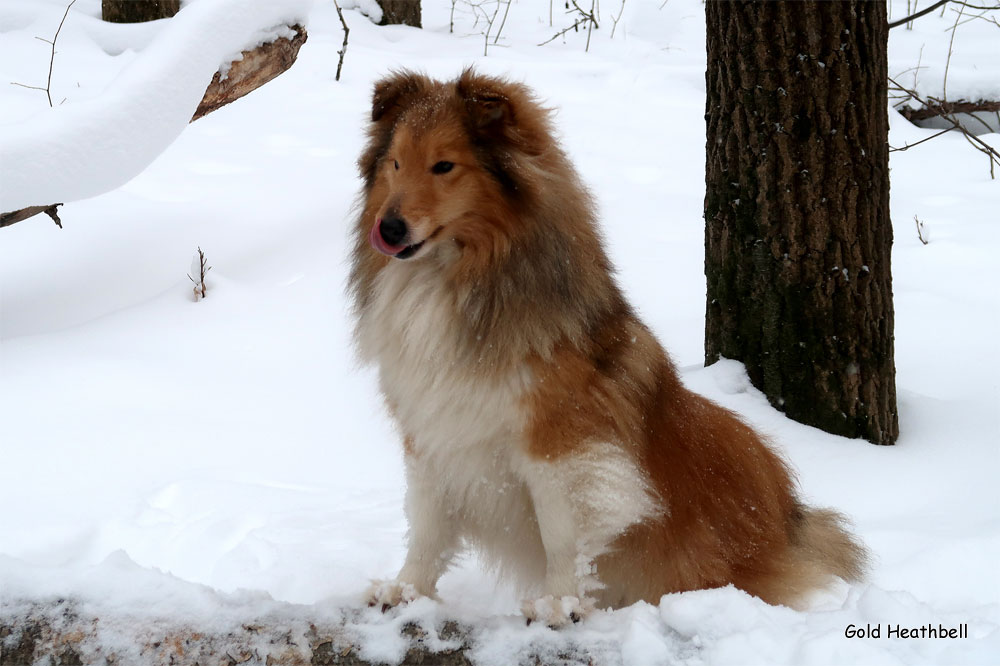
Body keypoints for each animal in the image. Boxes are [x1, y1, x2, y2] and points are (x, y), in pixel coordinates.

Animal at [348, 68, 864, 624]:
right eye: (396, 163)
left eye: (444, 166)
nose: (388, 228)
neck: (450, 279)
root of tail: (790, 514)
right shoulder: (431, 434)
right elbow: (427, 524)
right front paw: (407, 590)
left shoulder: (562, 447)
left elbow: (562, 535)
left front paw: (559, 603)